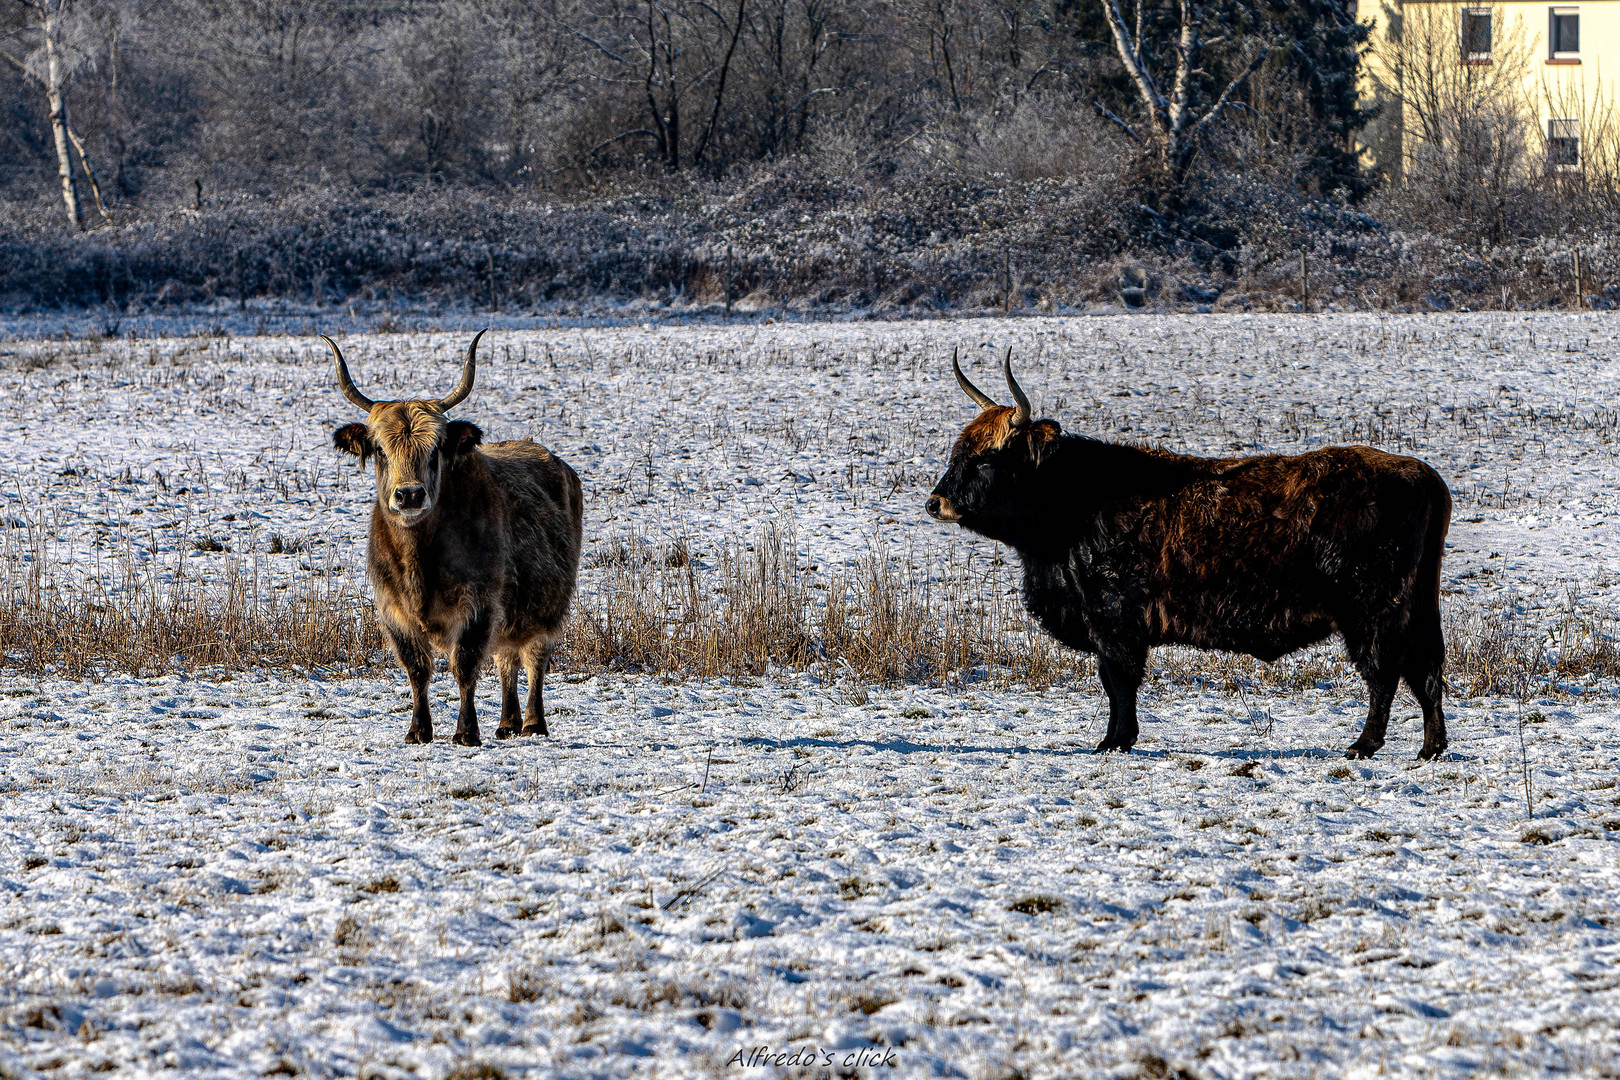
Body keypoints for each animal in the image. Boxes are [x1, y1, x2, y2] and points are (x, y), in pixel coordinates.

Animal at [325, 333, 586, 748]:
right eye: (380, 449)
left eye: (436, 450)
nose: (409, 495)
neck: (419, 560)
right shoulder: (393, 609)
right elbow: (417, 668)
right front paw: (418, 730)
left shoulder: (479, 603)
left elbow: (464, 665)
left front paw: (466, 732)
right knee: (506, 659)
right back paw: (507, 723)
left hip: (548, 606)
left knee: (533, 658)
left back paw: (532, 723)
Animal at [933, 354, 1451, 761]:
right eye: (958, 450)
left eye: (987, 458)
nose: (935, 502)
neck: (1080, 498)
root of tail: (1422, 474)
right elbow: (1116, 683)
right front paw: (1116, 738)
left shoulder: (1114, 621)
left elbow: (1117, 681)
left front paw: (1114, 740)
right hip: (1418, 605)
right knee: (1426, 671)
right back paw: (1430, 748)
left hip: (1372, 610)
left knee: (1384, 672)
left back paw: (1363, 745)